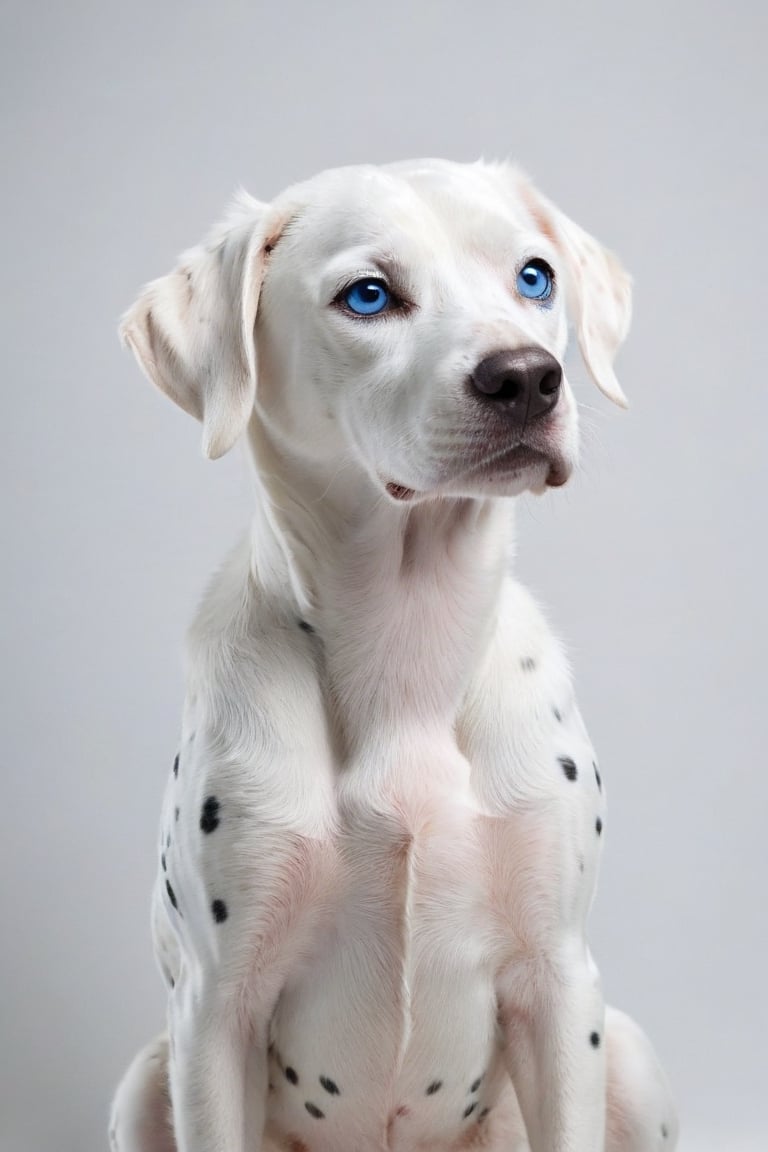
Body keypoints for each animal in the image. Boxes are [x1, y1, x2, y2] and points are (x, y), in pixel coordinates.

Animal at [109, 155, 677, 1152]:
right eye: (368, 295)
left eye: (535, 277)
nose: (528, 378)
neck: (407, 640)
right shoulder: (216, 1010)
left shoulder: (560, 985)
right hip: (144, 1081)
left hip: (632, 1059)